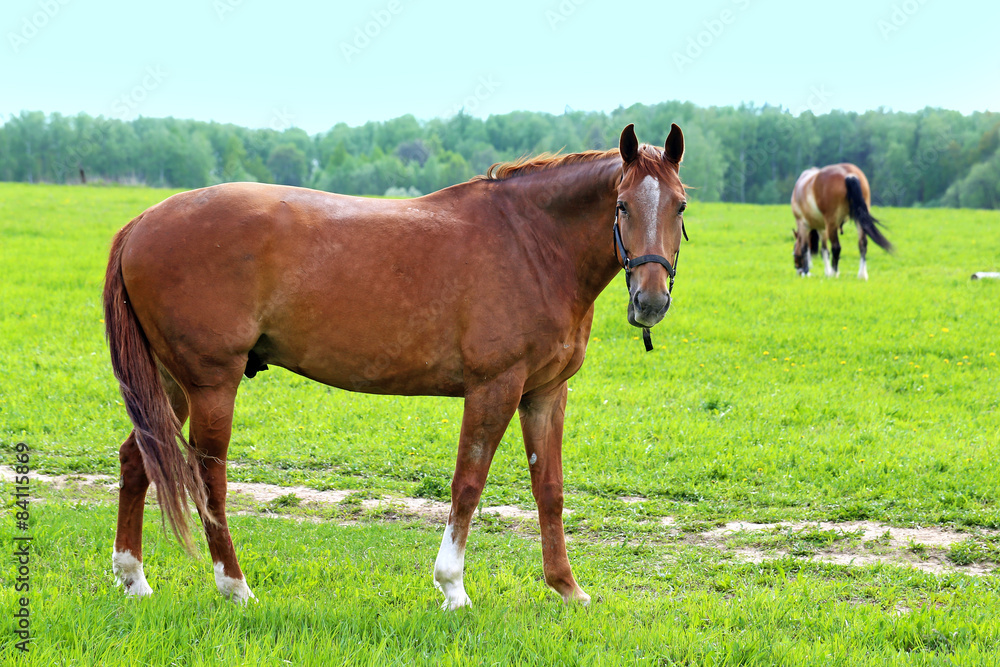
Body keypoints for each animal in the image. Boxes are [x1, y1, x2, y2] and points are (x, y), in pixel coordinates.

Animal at [103, 123, 689, 609]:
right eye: (621, 205)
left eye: (680, 206)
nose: (651, 301)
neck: (531, 243)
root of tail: (141, 223)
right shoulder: (494, 387)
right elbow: (468, 483)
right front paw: (453, 587)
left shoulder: (545, 394)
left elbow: (550, 489)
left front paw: (566, 588)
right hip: (210, 383)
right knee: (209, 477)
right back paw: (235, 586)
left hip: (170, 383)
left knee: (137, 459)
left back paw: (133, 578)